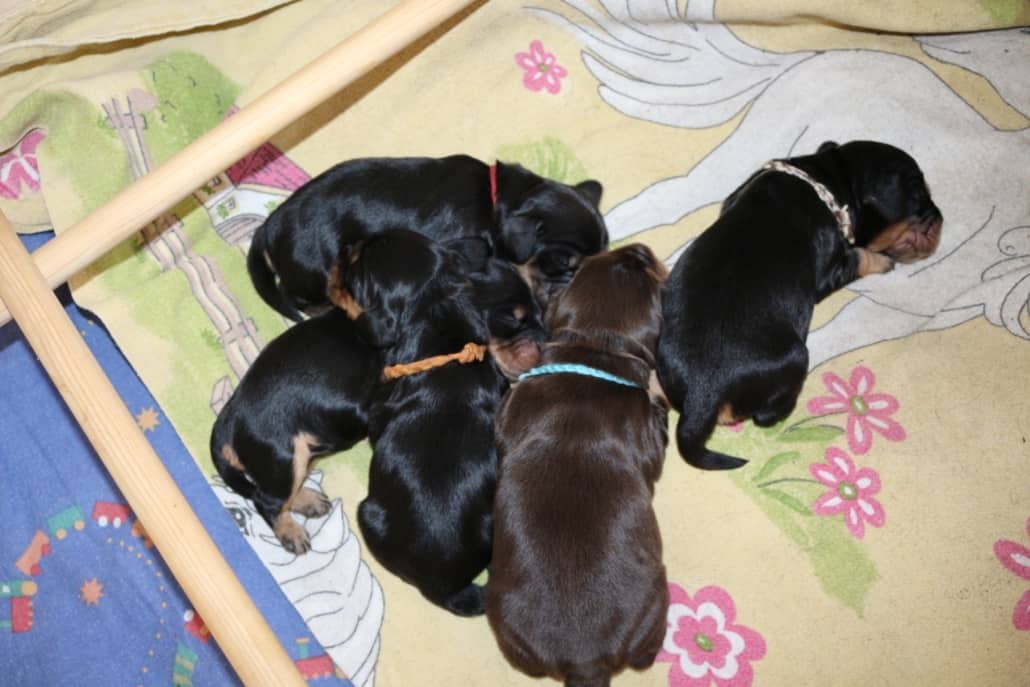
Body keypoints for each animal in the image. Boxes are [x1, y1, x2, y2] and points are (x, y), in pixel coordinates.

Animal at [210, 308, 381, 554]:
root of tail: (228, 421)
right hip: (287, 459)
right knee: (266, 500)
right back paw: (291, 533)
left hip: (300, 457)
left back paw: (310, 502)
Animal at [248, 155, 608, 320]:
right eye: (564, 262)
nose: (580, 280)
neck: (496, 201)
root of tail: (268, 228)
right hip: (313, 272)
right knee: (297, 297)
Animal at [329, 228, 544, 616]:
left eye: (358, 265)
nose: (347, 246)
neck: (438, 309)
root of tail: (446, 588)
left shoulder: (380, 408)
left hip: (367, 514)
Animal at [487, 243, 670, 687]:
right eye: (647, 271)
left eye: (594, 261)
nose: (638, 249)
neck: (595, 352)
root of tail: (585, 661)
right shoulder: (642, 430)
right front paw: (661, 405)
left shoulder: (514, 404)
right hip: (656, 599)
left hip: (503, 617)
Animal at [657, 140, 943, 470]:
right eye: (921, 198)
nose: (941, 218)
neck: (829, 178)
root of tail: (703, 394)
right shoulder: (833, 268)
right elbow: (860, 256)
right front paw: (882, 261)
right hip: (796, 358)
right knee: (765, 414)